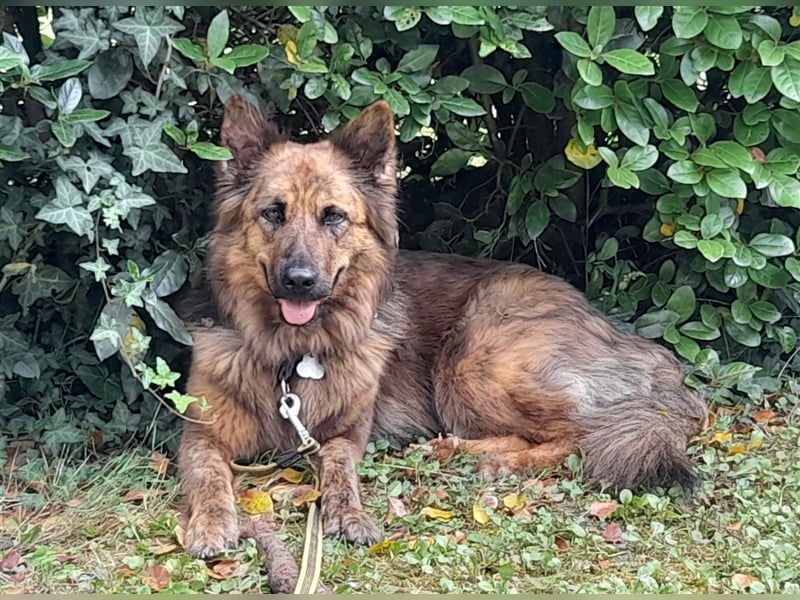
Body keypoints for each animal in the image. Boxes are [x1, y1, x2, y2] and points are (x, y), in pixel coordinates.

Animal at [177, 95, 708, 556]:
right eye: (273, 213)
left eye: (333, 217)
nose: (300, 282)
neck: (292, 353)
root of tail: (651, 356)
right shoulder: (201, 435)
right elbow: (208, 475)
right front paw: (211, 523)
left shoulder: (346, 435)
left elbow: (339, 472)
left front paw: (349, 514)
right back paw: (452, 448)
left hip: (474, 362)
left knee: (582, 432)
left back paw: (497, 459)